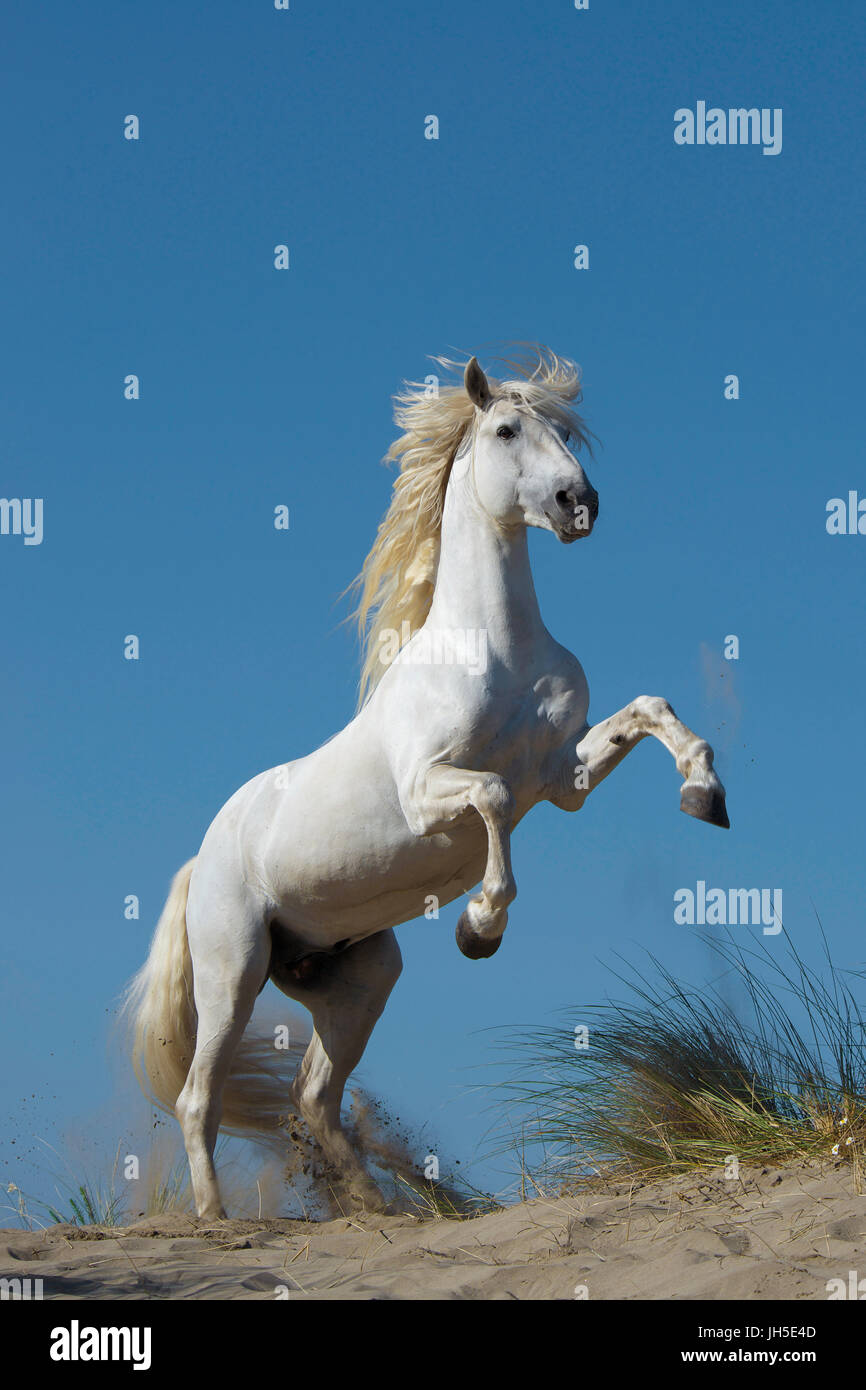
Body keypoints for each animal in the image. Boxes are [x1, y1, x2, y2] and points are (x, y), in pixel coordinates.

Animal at [123, 347, 733, 1217]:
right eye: (508, 429)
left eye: (564, 432)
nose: (578, 504)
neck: (498, 650)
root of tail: (199, 859)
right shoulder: (429, 792)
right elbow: (493, 800)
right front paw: (479, 926)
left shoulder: (567, 777)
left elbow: (651, 711)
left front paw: (704, 792)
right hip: (231, 969)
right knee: (199, 1097)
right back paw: (216, 1218)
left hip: (357, 980)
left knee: (315, 1098)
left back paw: (374, 1209)